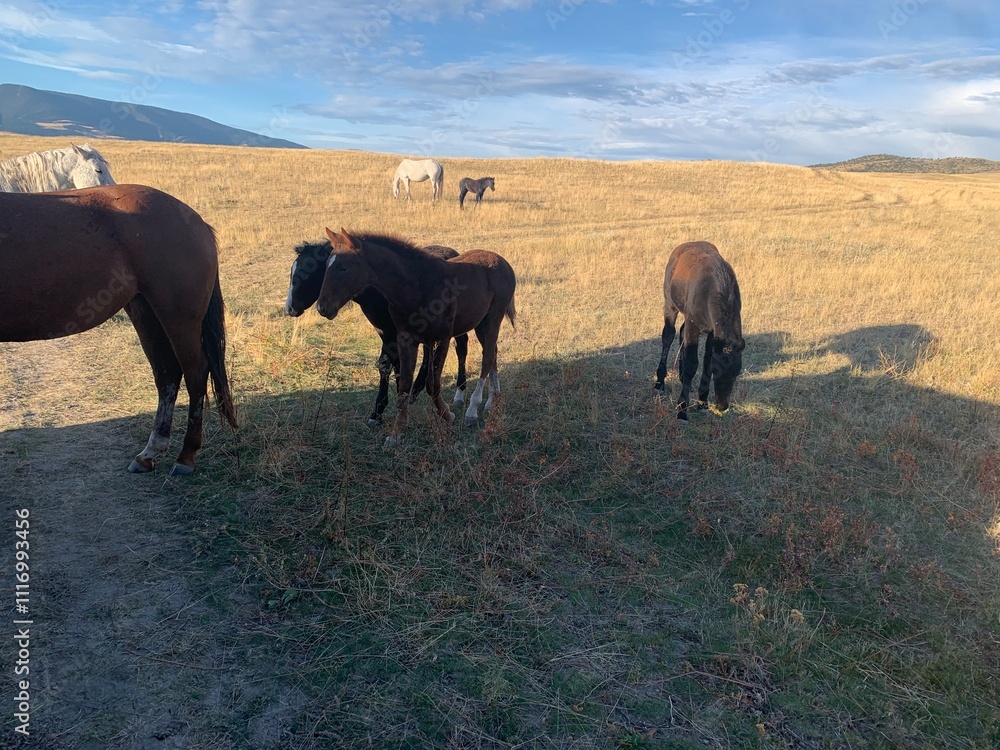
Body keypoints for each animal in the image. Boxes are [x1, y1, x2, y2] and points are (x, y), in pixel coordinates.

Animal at [0, 185, 237, 474]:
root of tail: (194, 219)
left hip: (179, 318)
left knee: (195, 372)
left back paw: (186, 456)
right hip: (145, 310)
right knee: (167, 373)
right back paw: (150, 453)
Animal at [286, 239, 470, 426]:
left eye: (307, 271)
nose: (290, 308)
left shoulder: (395, 332)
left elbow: (387, 364)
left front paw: (379, 412)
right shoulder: (386, 331)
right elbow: (394, 364)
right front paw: (397, 402)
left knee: (461, 347)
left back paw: (459, 393)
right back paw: (415, 392)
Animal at [316, 229, 516, 448]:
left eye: (343, 267)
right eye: (326, 266)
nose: (323, 307)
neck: (419, 286)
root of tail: (503, 262)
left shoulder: (442, 339)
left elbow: (432, 383)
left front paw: (448, 415)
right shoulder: (406, 339)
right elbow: (404, 383)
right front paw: (396, 433)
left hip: (492, 319)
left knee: (487, 358)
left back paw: (473, 410)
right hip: (481, 323)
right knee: (493, 353)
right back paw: (491, 401)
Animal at [654, 241, 744, 420]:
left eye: (736, 373)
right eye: (717, 372)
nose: (722, 406)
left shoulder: (712, 333)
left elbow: (706, 362)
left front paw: (702, 401)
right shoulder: (693, 325)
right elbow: (692, 364)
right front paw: (682, 408)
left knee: (681, 333)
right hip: (670, 305)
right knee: (668, 335)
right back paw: (660, 381)